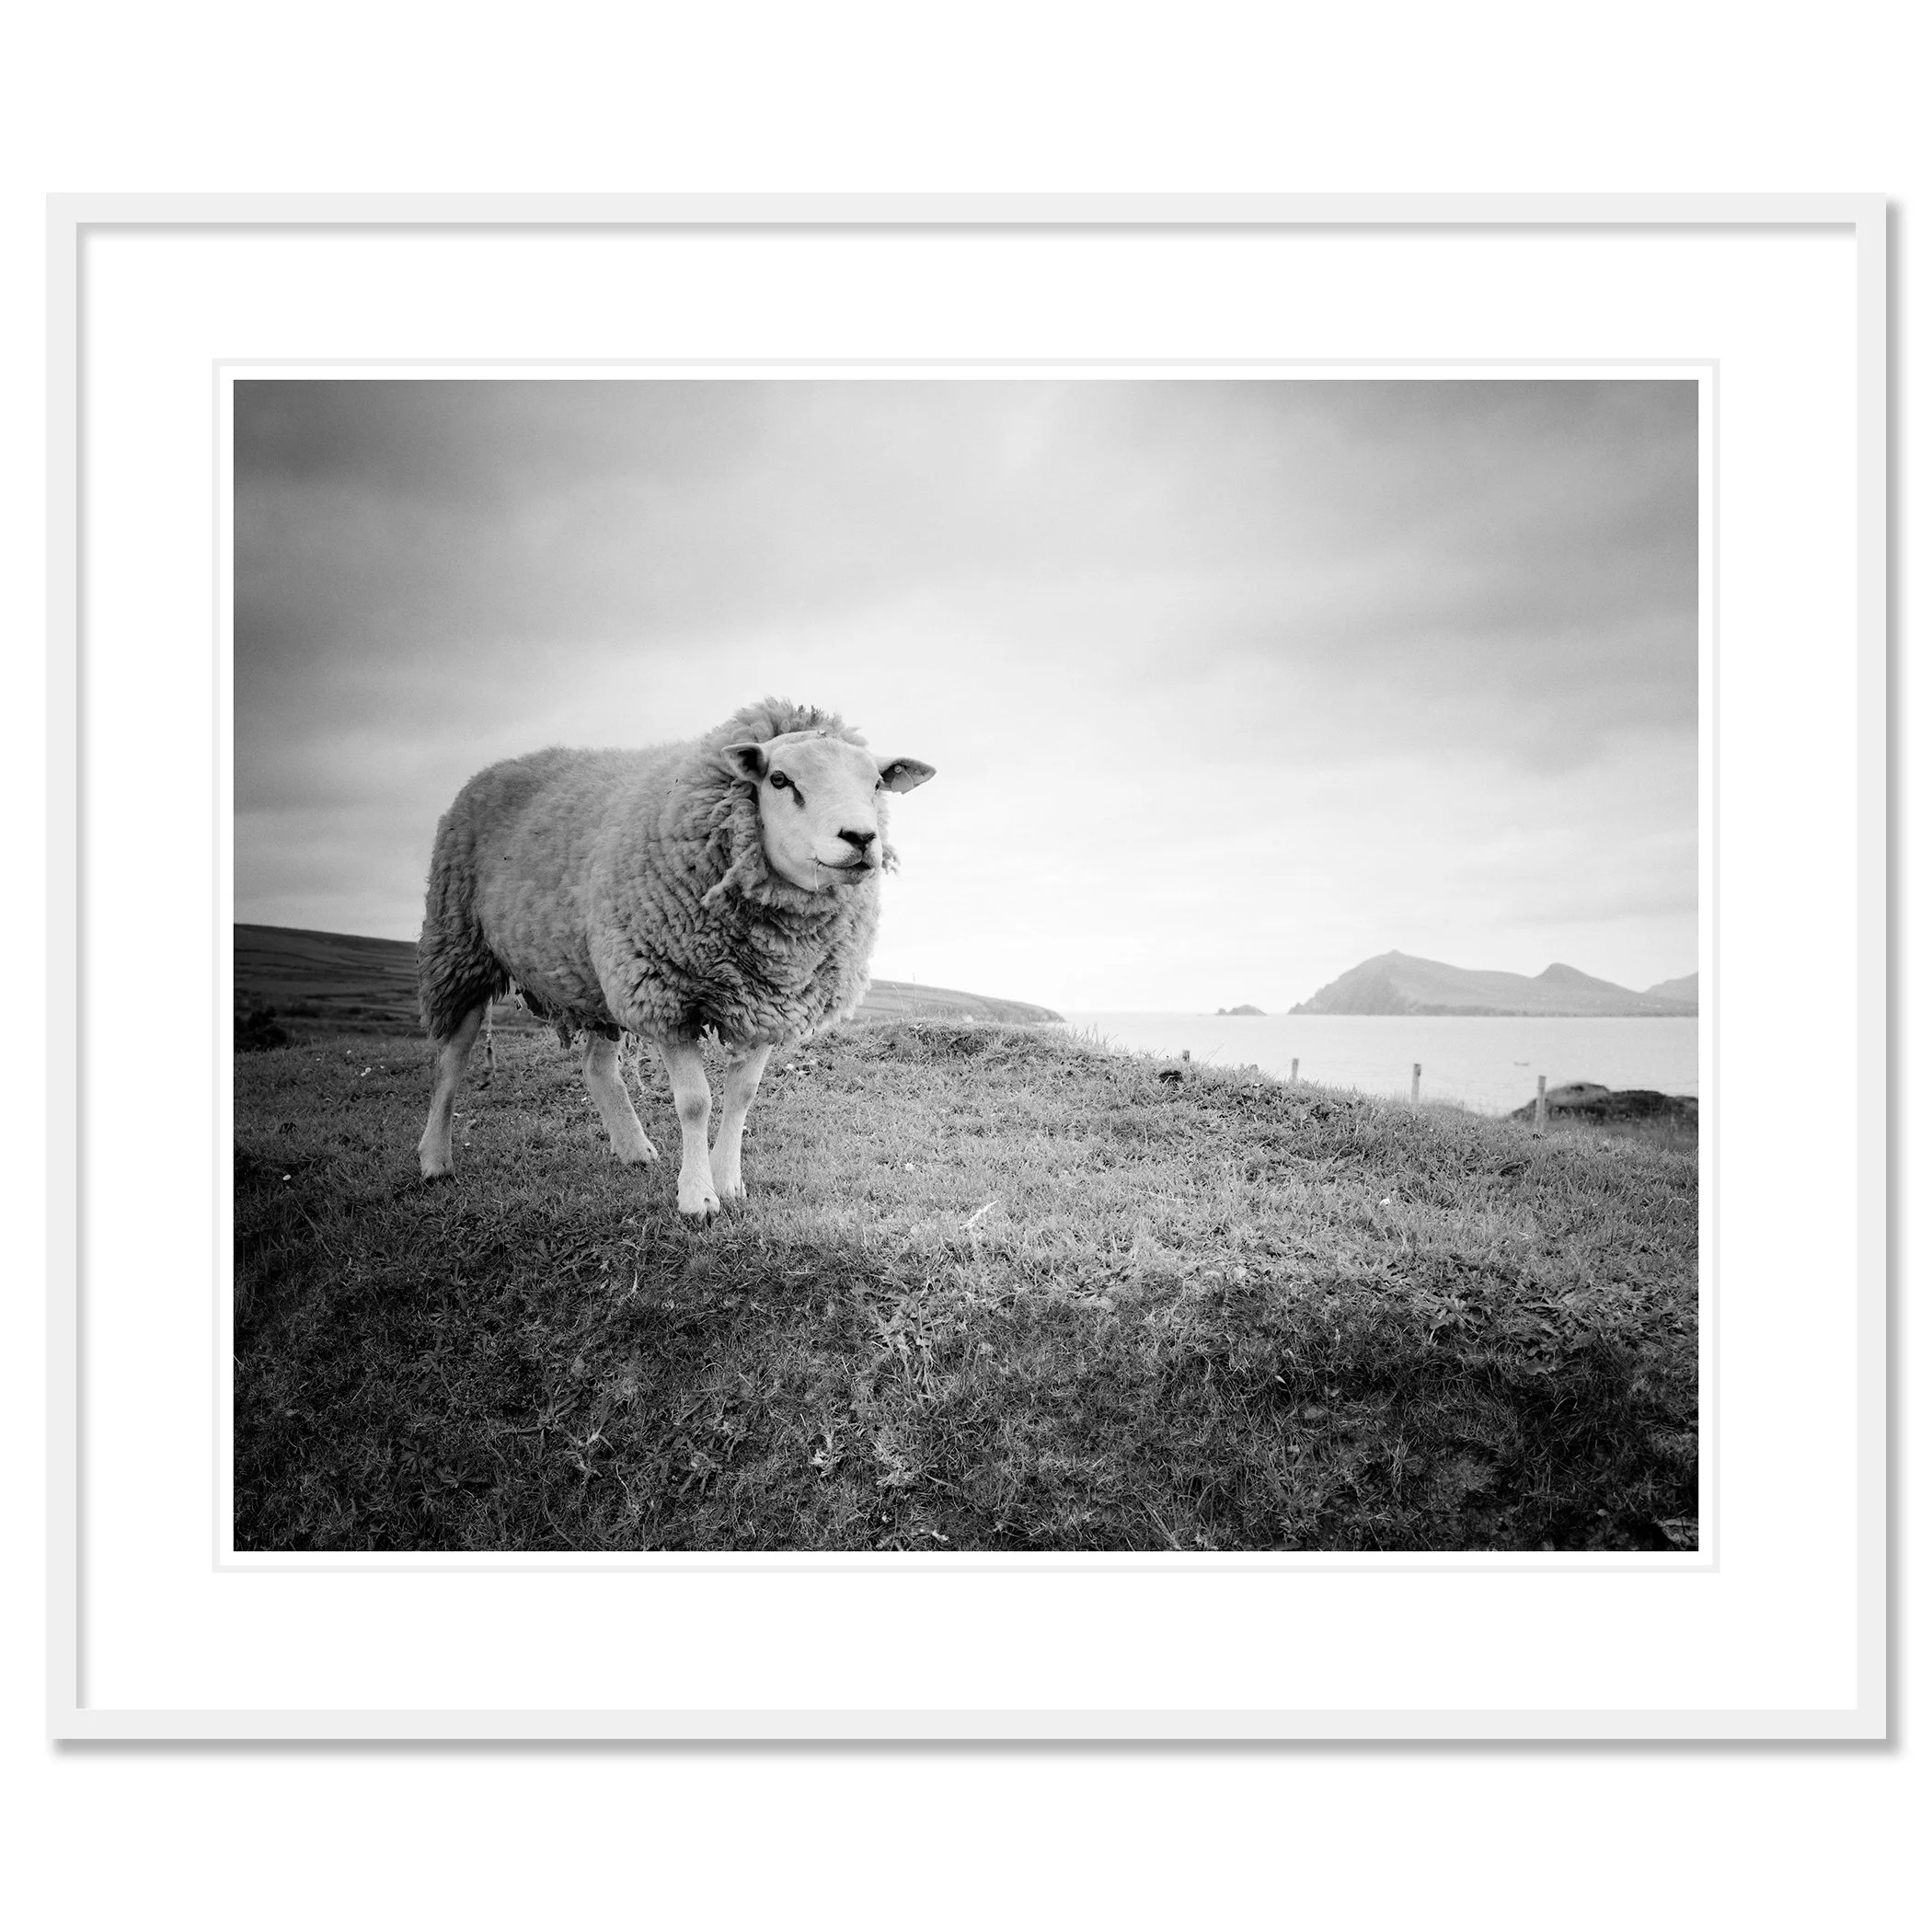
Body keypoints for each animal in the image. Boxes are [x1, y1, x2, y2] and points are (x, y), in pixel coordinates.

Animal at [415, 697, 935, 1220]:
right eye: (780, 779)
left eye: (876, 783)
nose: (861, 838)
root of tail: (493, 768)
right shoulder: (665, 993)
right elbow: (694, 1102)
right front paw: (697, 1197)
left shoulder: (768, 1000)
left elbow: (742, 1095)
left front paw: (729, 1183)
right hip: (460, 945)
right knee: (451, 1059)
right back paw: (435, 1160)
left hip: (599, 974)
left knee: (597, 1067)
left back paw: (633, 1149)